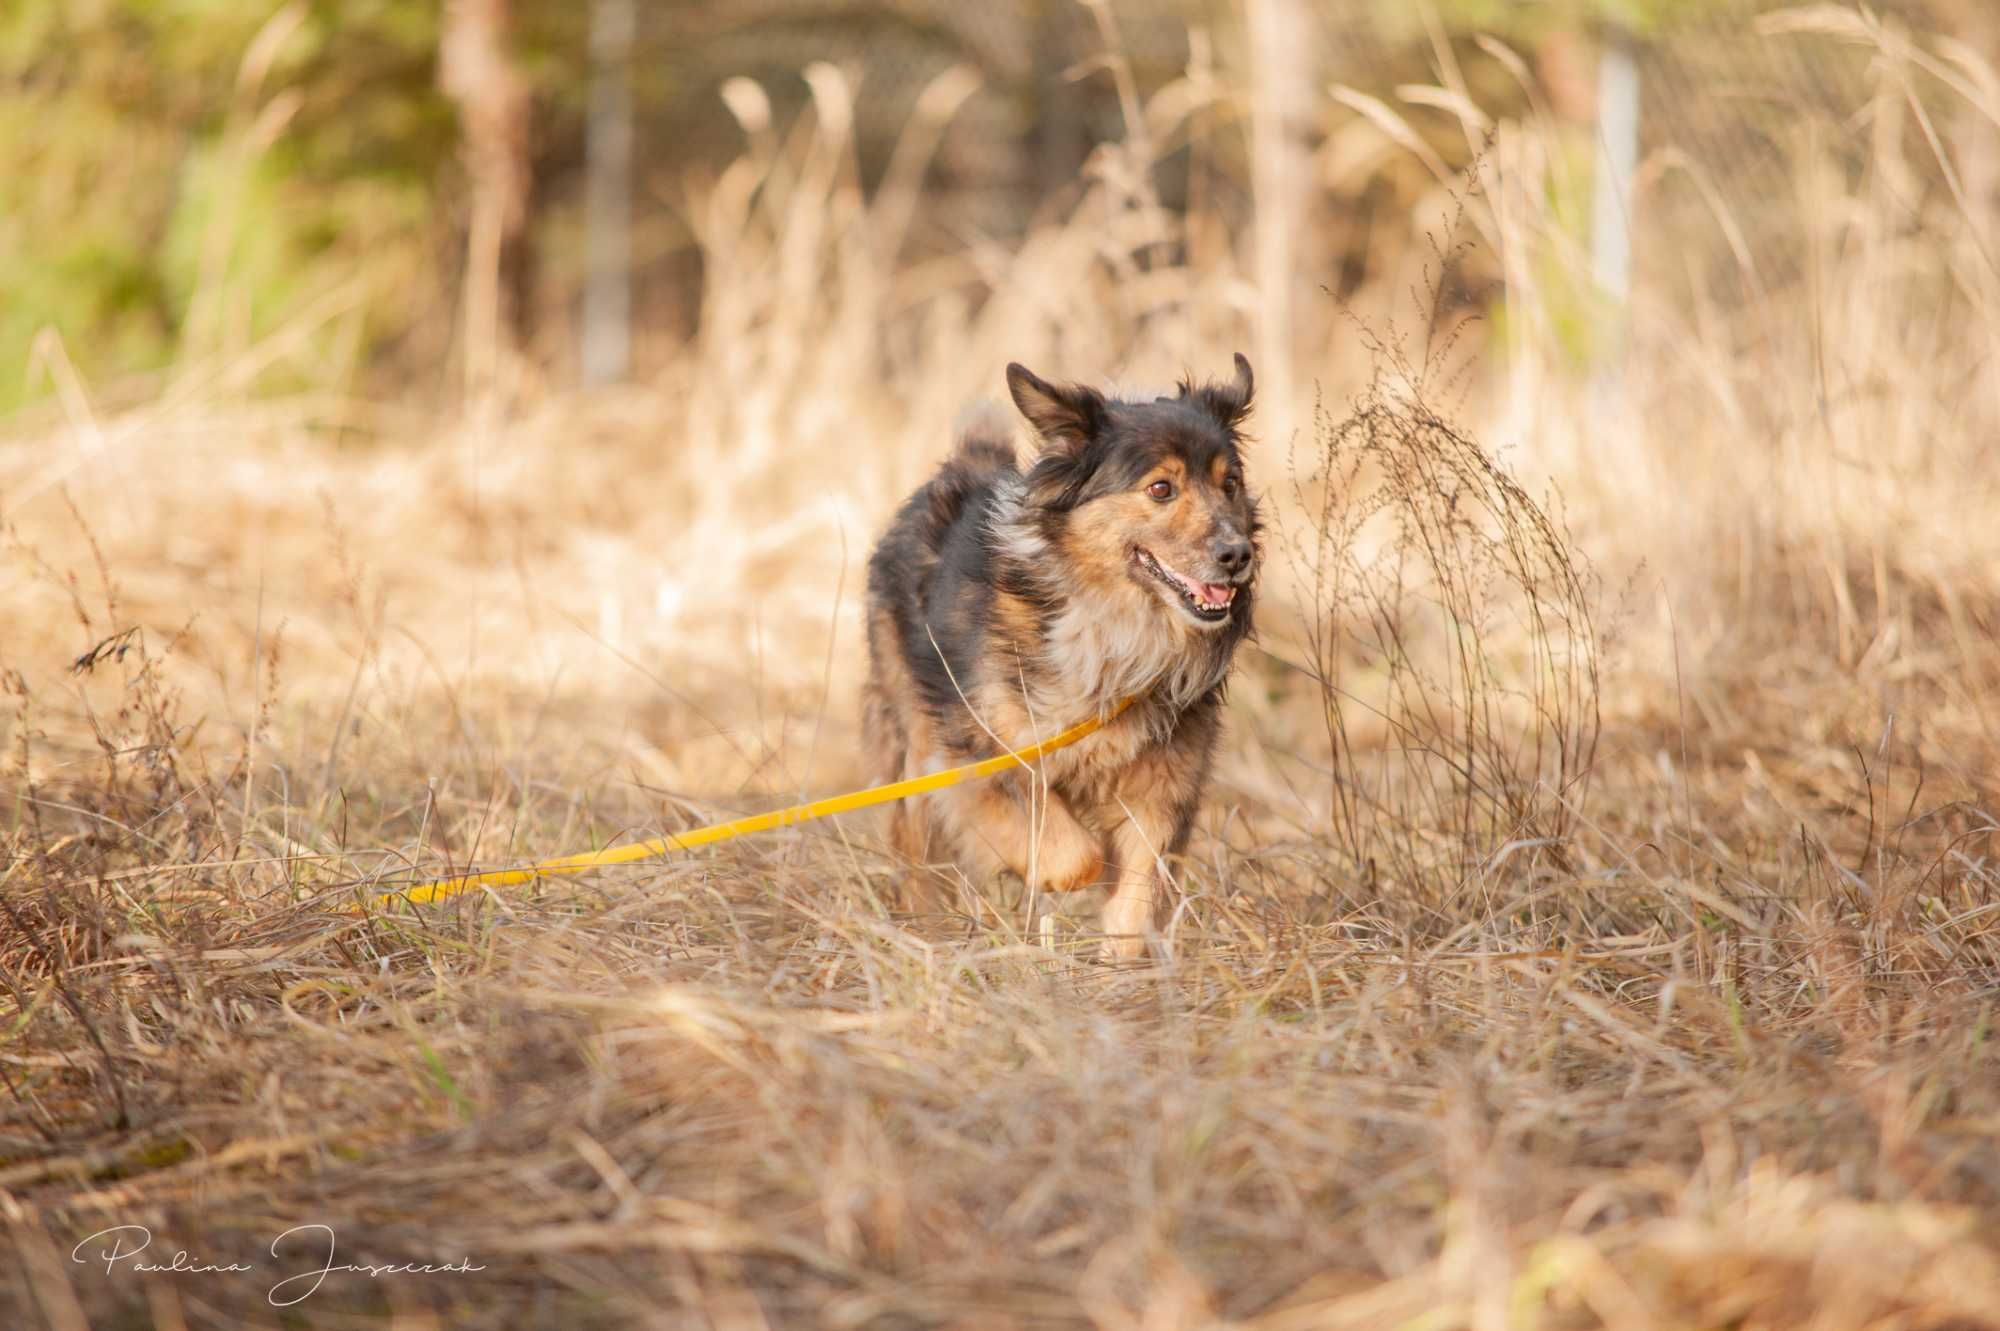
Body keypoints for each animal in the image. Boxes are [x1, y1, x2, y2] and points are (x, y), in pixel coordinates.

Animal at [864, 351, 1264, 955]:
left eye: (1231, 483)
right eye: (1161, 489)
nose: (1237, 554)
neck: (1118, 626)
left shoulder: (1162, 784)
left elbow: (1135, 899)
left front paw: (1120, 964)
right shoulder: (978, 751)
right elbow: (1075, 855)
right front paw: (1050, 873)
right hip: (913, 735)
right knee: (916, 851)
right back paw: (924, 929)